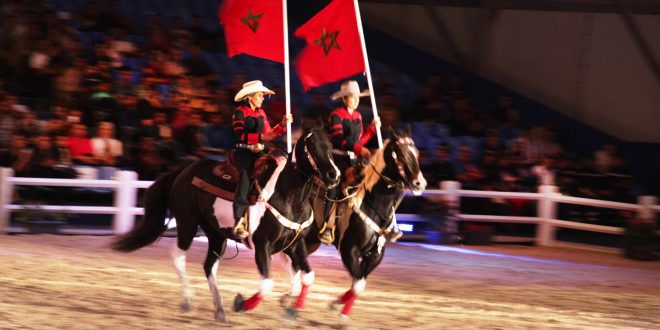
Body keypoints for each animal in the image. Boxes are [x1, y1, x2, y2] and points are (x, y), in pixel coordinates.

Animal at [111, 127, 338, 324]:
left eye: (329, 145)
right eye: (312, 146)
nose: (334, 175)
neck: (287, 196)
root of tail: (183, 170)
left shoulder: (295, 245)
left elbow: (306, 277)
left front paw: (291, 309)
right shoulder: (262, 245)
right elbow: (267, 285)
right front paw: (240, 304)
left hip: (216, 234)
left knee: (208, 265)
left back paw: (219, 310)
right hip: (187, 223)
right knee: (178, 256)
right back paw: (188, 301)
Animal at [306, 127, 428, 320]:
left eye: (416, 153)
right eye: (401, 153)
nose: (420, 183)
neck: (371, 203)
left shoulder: (376, 254)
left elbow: (359, 282)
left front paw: (335, 304)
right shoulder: (349, 250)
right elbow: (357, 284)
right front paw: (341, 315)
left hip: (310, 240)